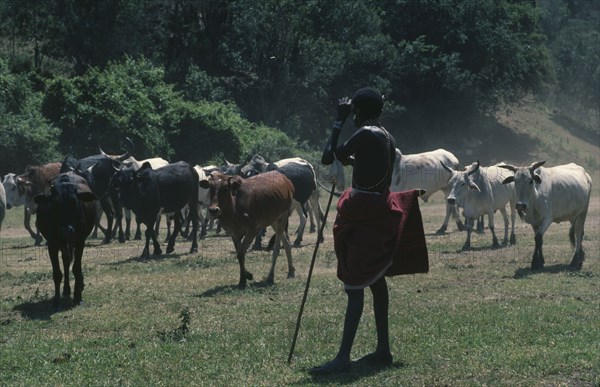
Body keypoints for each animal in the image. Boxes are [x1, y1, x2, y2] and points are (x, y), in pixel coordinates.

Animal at [34, 173, 97, 310]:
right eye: (54, 204)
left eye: (75, 202)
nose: (66, 230)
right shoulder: (52, 243)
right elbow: (57, 273)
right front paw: (56, 300)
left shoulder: (80, 241)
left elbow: (76, 268)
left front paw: (78, 297)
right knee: (66, 261)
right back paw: (66, 290)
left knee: (69, 262)